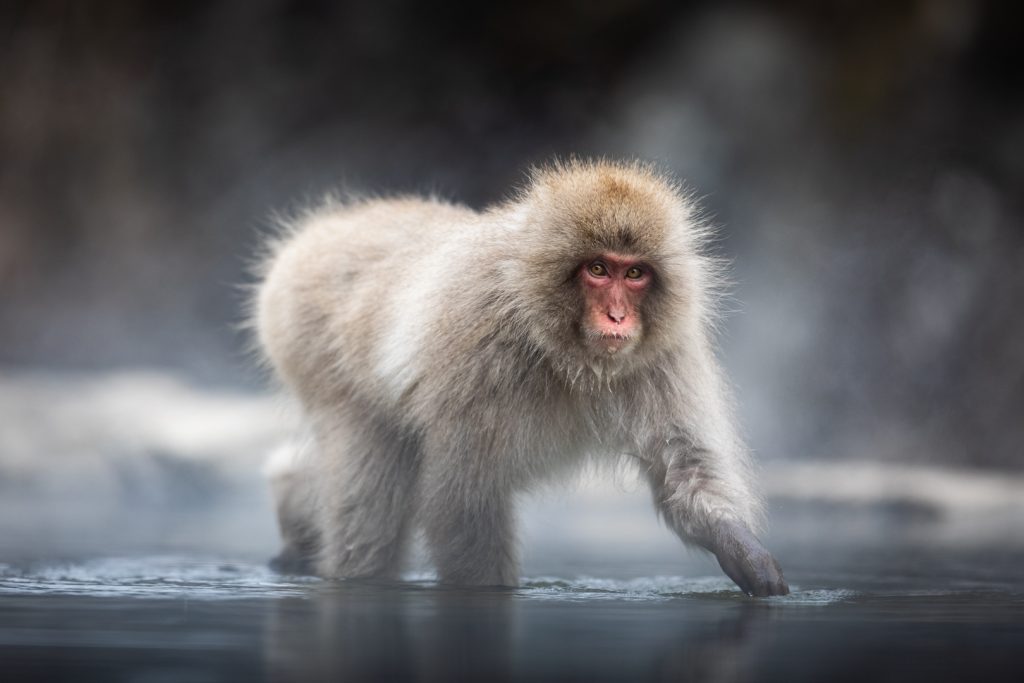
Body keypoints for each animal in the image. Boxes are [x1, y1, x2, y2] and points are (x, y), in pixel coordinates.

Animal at [252, 159, 789, 597]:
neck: (558, 344)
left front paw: (743, 551)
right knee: (369, 505)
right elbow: (464, 500)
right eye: (598, 269)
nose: (617, 318)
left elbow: (686, 472)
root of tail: (330, 226)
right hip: (307, 339)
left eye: (635, 273)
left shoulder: (666, 353)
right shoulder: (478, 352)